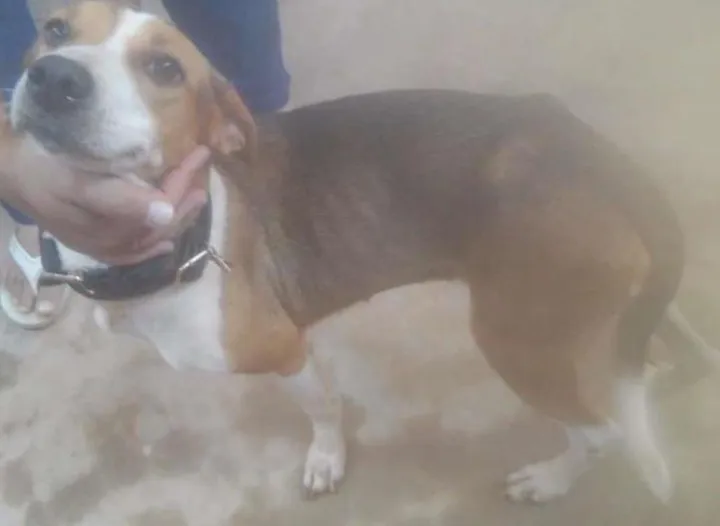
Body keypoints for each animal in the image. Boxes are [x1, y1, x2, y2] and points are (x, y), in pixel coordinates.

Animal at [4, 0, 718, 503]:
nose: (52, 77)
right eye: (56, 29)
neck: (178, 244)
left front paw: (327, 460)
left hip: (516, 339)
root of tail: (594, 151)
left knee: (604, 432)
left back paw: (550, 481)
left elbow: (322, 409)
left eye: (165, 68)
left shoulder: (286, 350)